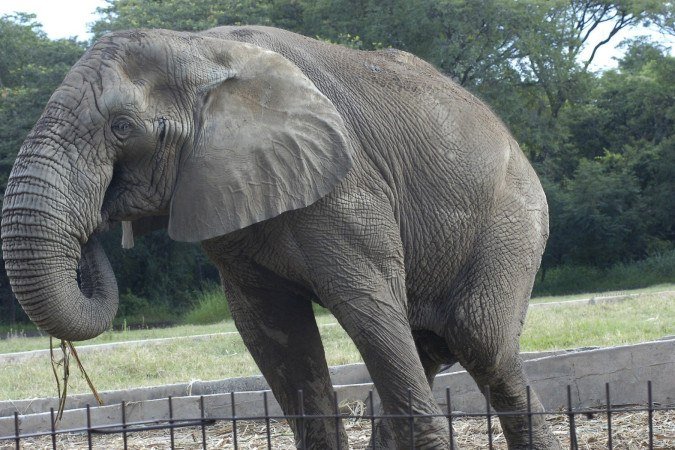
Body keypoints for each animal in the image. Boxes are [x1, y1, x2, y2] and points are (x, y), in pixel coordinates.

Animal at [1, 26, 560, 449]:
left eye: (121, 127)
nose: (96, 222)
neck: (199, 47)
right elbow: (275, 332)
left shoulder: (347, 188)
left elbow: (370, 306)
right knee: (425, 346)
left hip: (513, 221)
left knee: (478, 343)